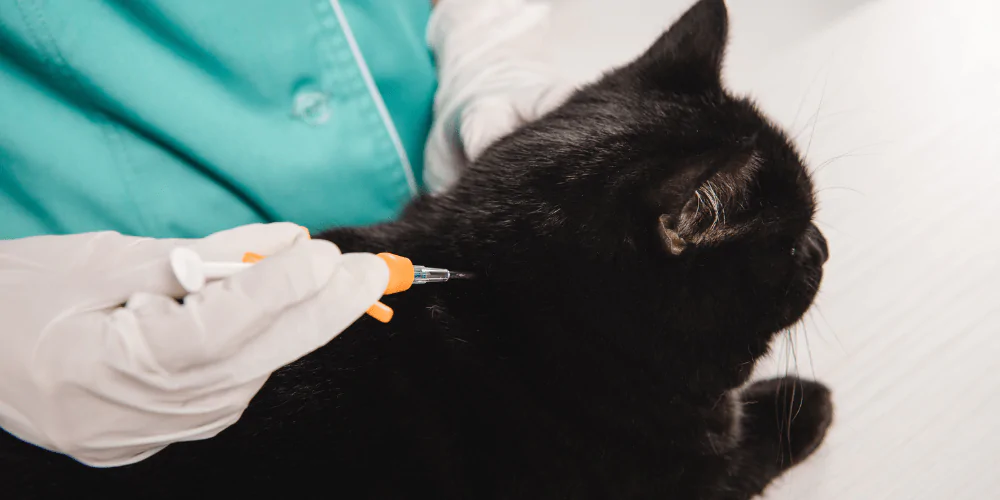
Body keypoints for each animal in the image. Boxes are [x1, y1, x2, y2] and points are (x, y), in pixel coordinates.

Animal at [0, 1, 832, 498]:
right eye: (792, 240)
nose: (824, 245)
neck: (520, 315)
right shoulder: (681, 476)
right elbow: (763, 438)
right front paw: (804, 402)